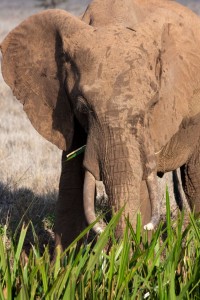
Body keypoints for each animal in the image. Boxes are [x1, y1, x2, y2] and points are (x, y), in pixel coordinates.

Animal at [0, 0, 200, 248]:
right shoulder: (65, 110)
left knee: (194, 180)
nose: (105, 228)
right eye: (83, 108)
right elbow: (71, 181)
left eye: (153, 104)